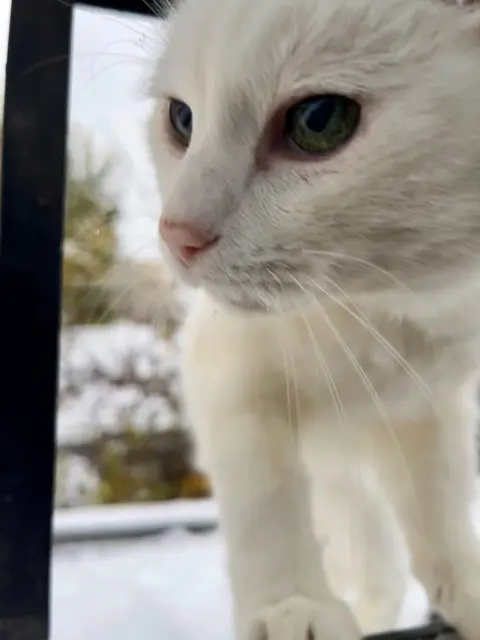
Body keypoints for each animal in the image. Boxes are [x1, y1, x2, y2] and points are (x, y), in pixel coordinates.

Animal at [148, 0, 480, 636]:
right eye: (181, 121)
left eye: (318, 121)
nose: (176, 234)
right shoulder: (224, 362)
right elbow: (263, 487)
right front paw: (291, 604)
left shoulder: (425, 403)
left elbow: (439, 501)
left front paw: (468, 590)